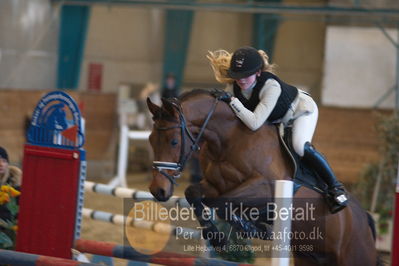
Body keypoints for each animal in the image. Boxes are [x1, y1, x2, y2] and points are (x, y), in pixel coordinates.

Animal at [146, 90, 378, 266]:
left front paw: (246, 229)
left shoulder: (266, 188)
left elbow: (221, 202)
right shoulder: (215, 185)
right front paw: (218, 237)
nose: (158, 190)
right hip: (309, 257)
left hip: (354, 256)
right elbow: (194, 194)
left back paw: (338, 196)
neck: (228, 140)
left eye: (174, 142)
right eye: (150, 139)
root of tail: (364, 219)